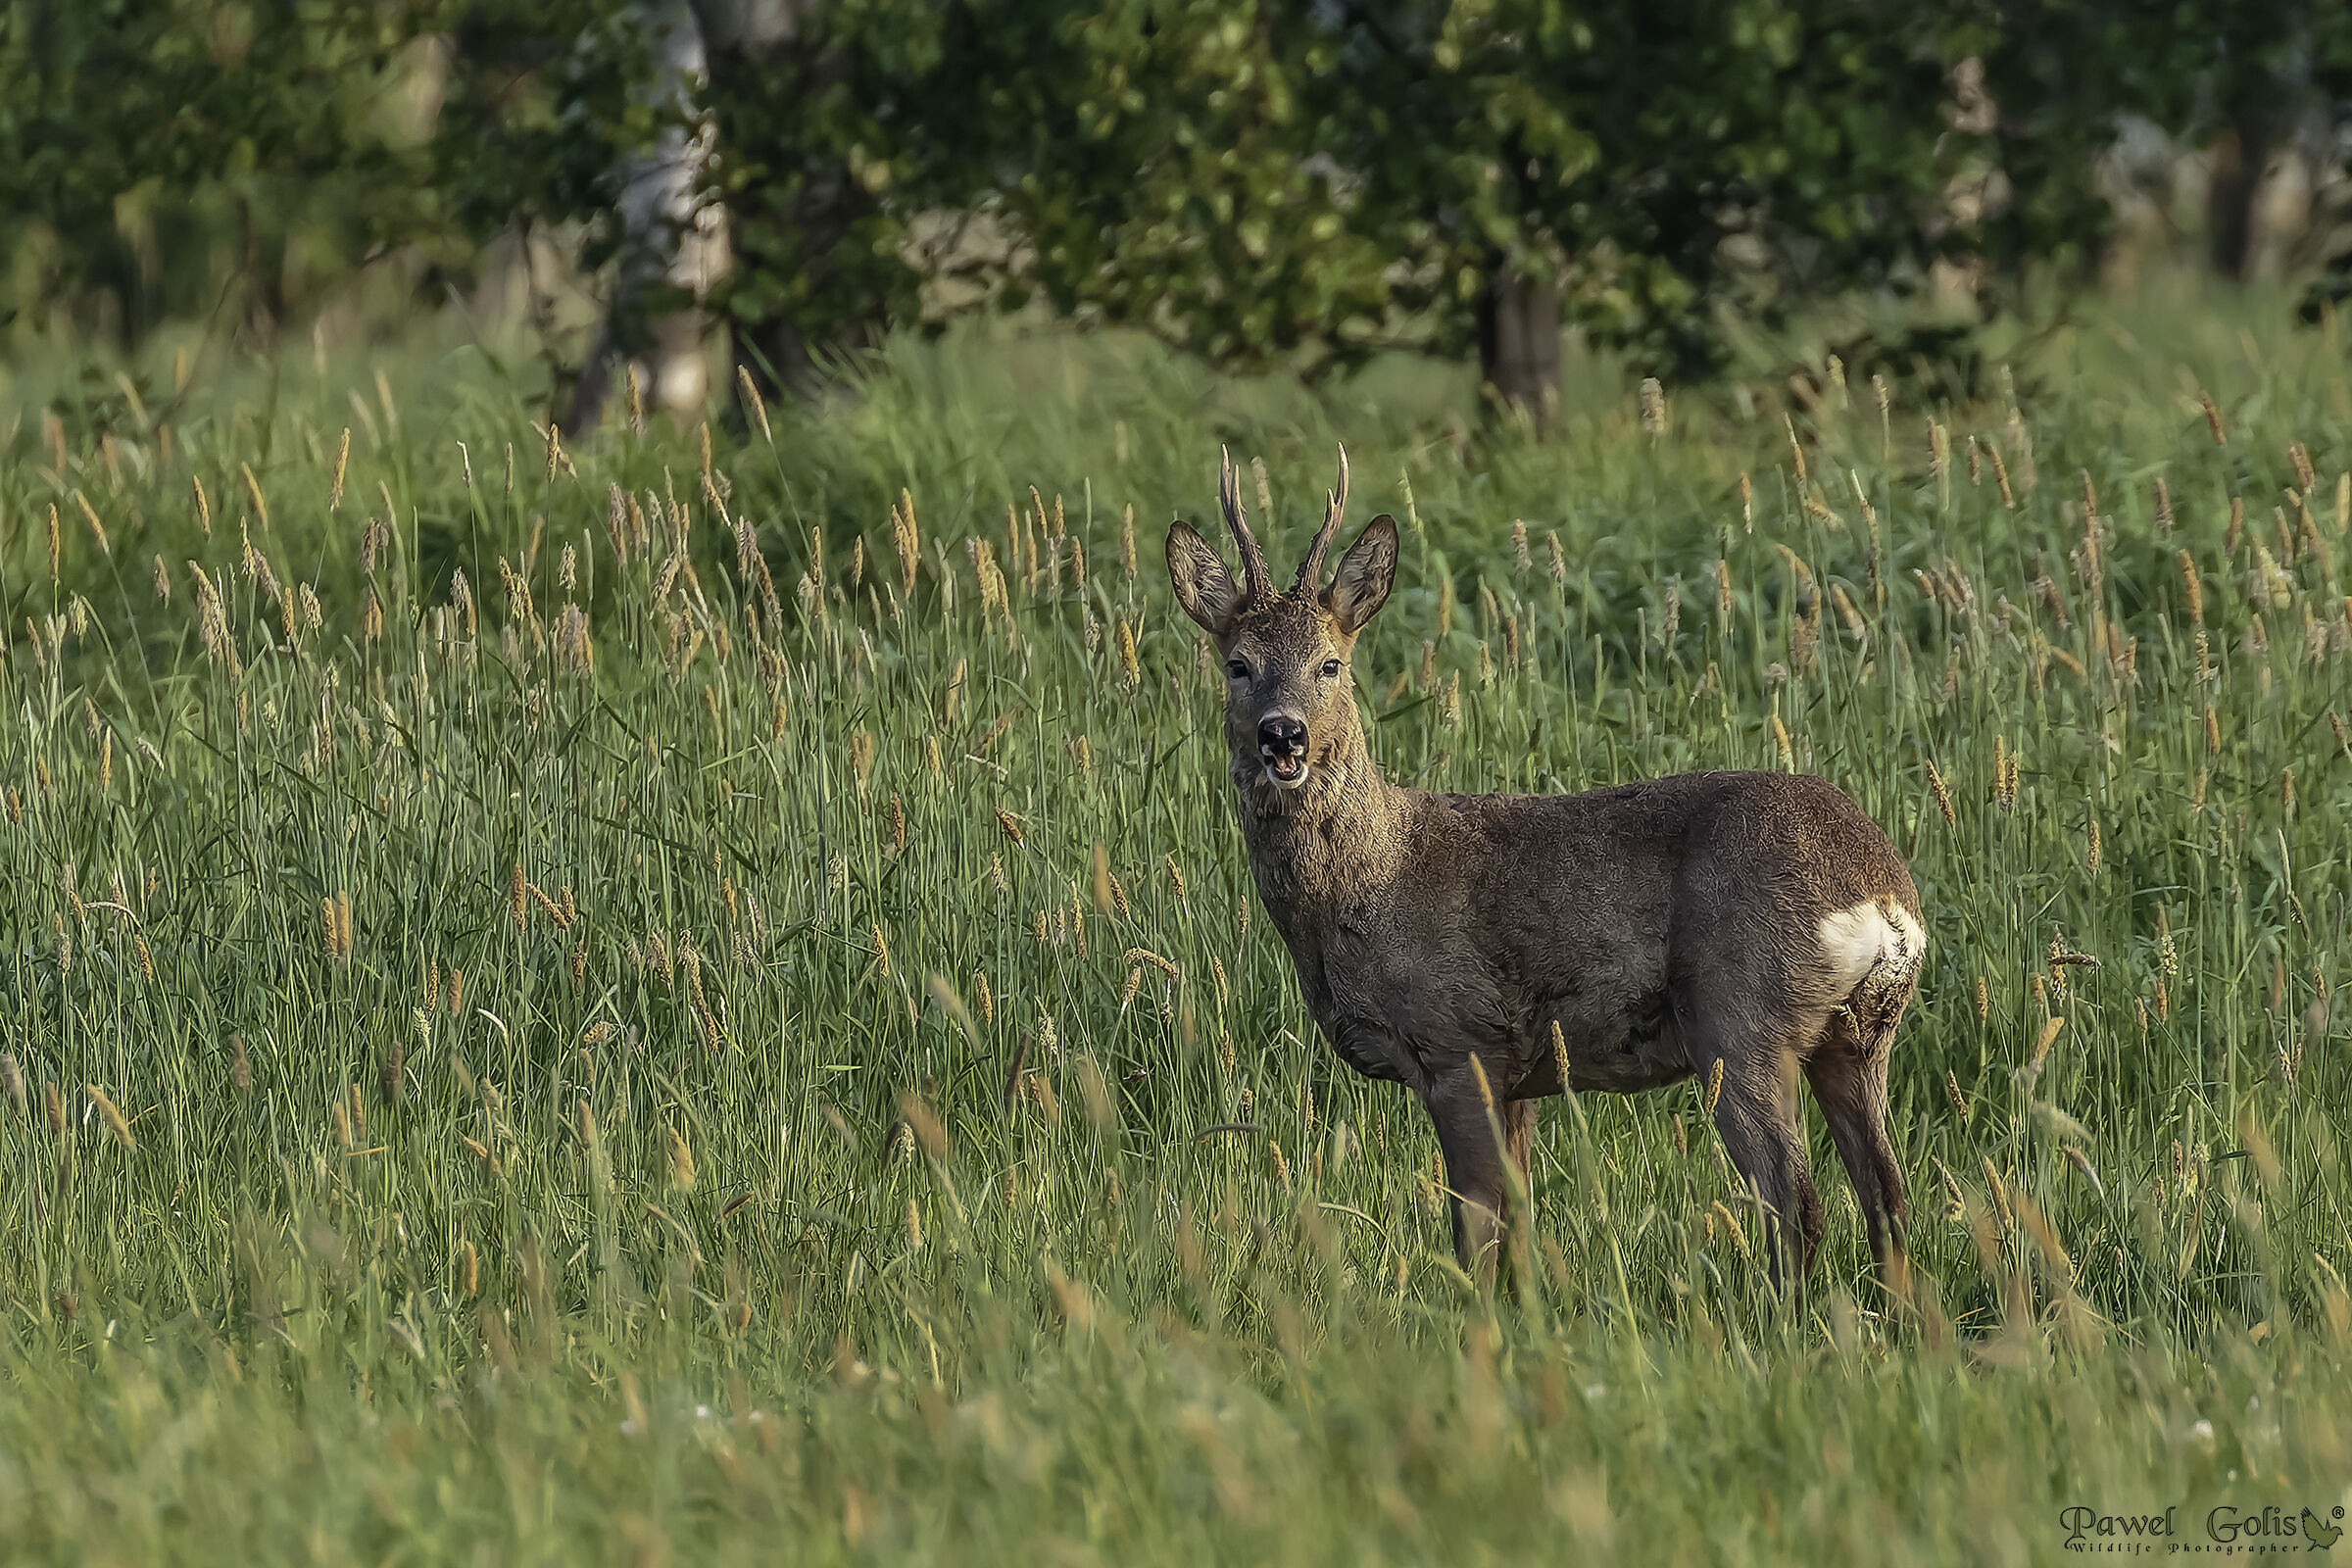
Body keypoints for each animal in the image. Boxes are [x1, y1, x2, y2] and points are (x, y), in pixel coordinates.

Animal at [1166, 448, 1927, 1292]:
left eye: (1331, 664)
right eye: (1239, 665)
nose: (1283, 735)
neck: (1371, 884)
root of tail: (1884, 897)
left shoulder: (1460, 1040)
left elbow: (1473, 1230)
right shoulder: (1521, 1072)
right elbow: (1520, 1229)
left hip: (1741, 1016)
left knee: (1795, 1201)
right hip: (1858, 1038)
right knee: (1888, 1197)